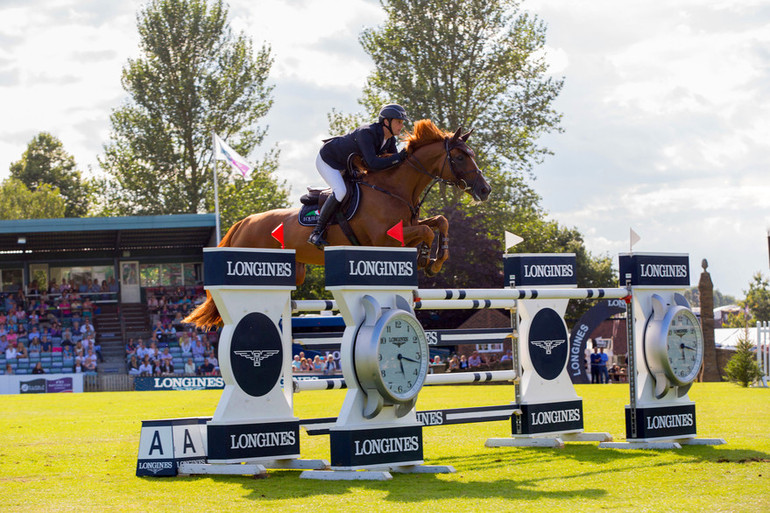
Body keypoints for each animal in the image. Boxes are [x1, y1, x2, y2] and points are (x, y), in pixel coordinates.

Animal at [183, 119, 488, 328]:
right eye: (459, 157)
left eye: (472, 154)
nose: (485, 190)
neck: (394, 189)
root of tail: (243, 223)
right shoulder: (385, 238)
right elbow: (427, 229)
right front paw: (428, 259)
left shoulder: (402, 233)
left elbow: (439, 222)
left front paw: (436, 258)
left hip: (296, 272)